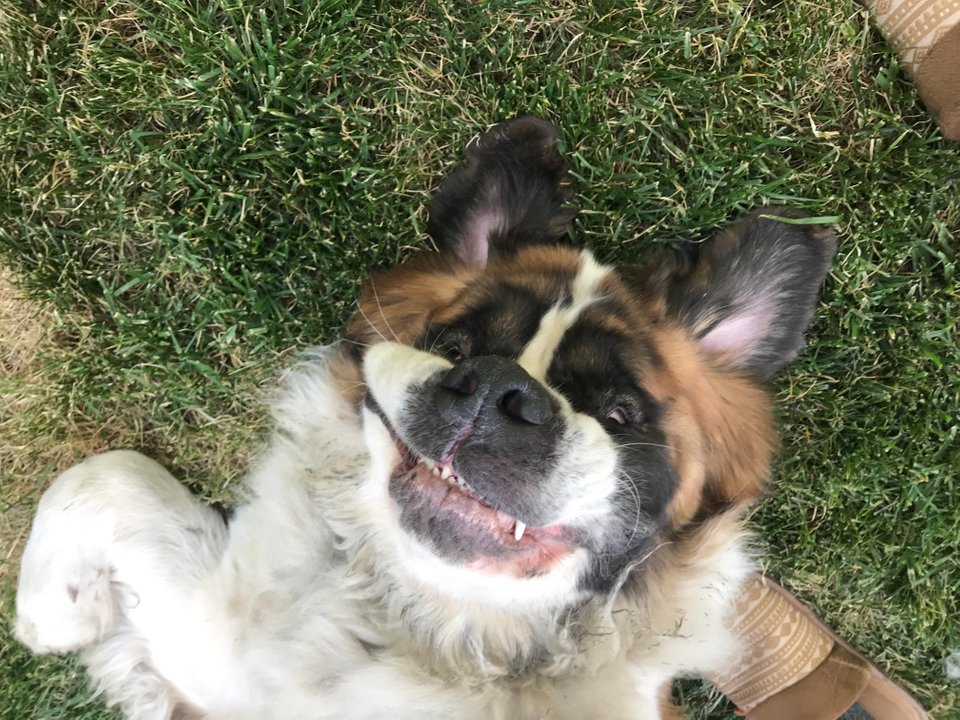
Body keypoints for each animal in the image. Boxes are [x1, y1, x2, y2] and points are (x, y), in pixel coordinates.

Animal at [18, 119, 836, 720]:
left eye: (619, 410)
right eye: (456, 347)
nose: (495, 390)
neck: (438, 624)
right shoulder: (218, 663)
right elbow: (108, 472)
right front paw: (54, 610)